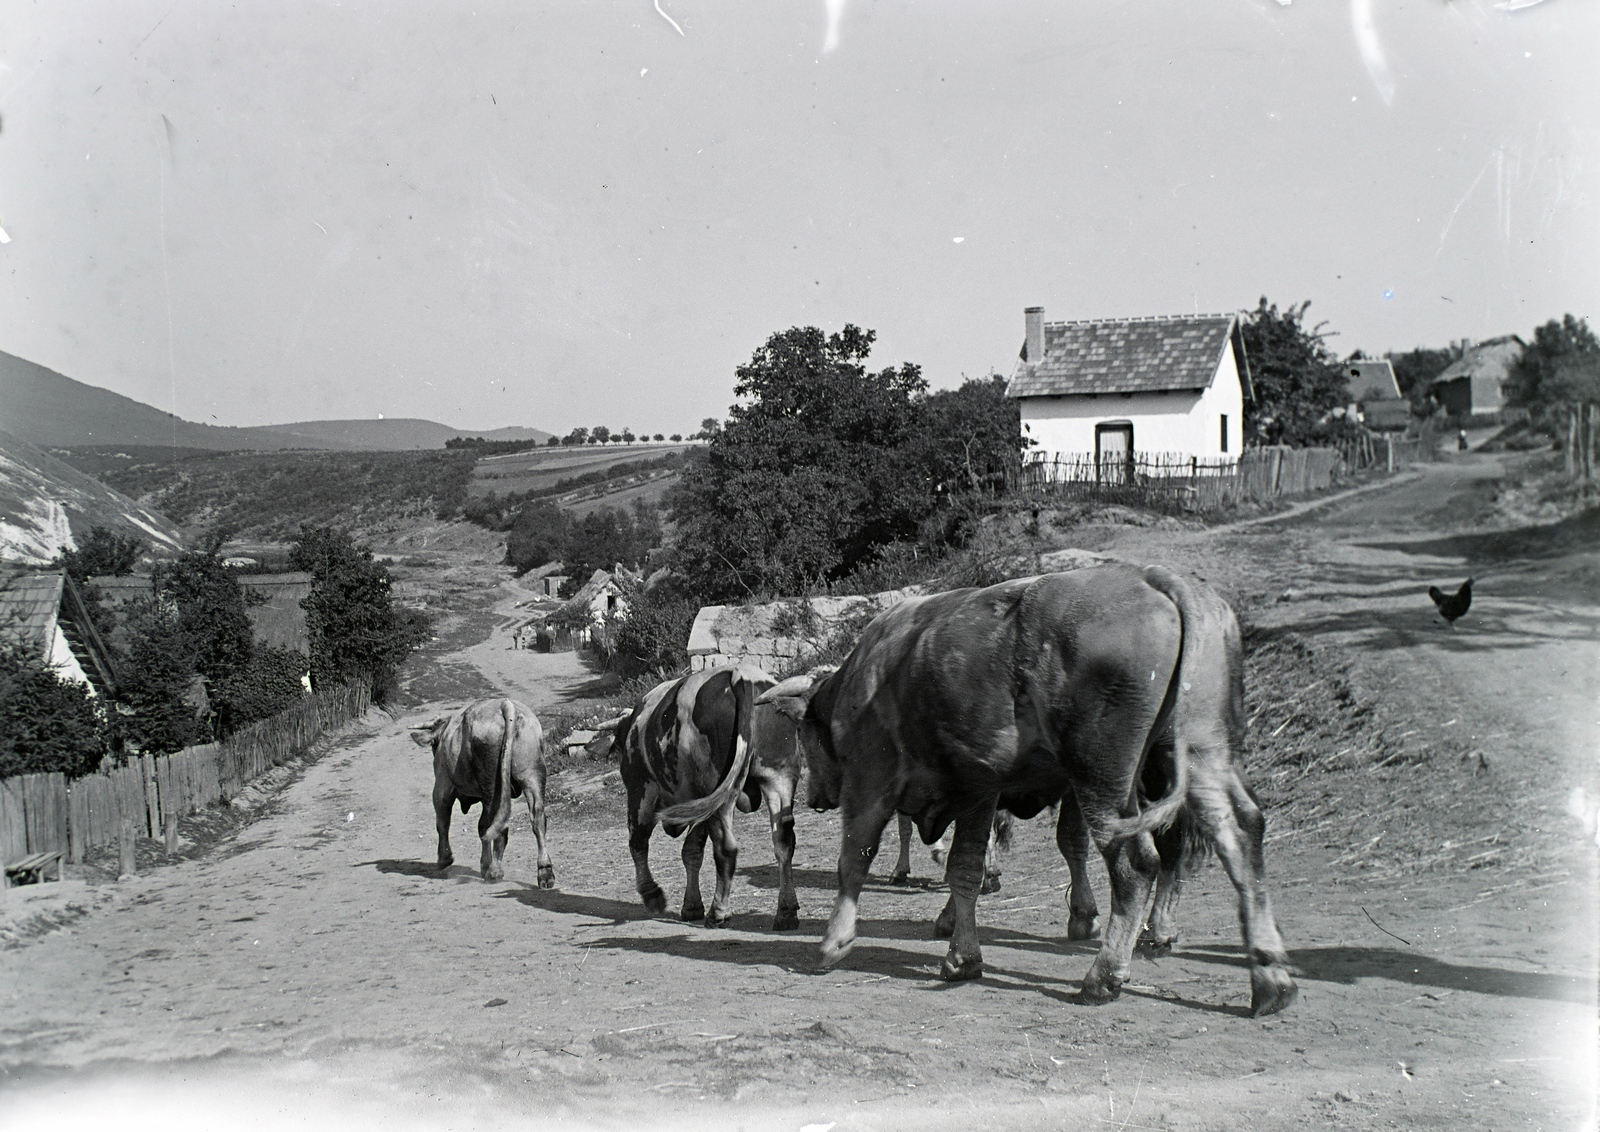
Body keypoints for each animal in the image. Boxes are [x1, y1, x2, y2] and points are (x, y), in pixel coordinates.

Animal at [409, 693, 553, 888]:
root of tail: (506, 706)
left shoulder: (442, 786)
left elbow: (443, 822)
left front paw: (445, 859)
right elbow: (481, 826)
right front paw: (484, 864)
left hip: (492, 785)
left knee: (498, 826)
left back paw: (495, 871)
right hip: (532, 774)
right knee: (537, 819)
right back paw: (545, 872)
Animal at [592, 661, 806, 927]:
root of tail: (741, 675)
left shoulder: (640, 791)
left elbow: (638, 843)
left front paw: (652, 895)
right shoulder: (696, 805)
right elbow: (692, 851)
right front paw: (692, 905)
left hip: (716, 790)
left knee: (726, 848)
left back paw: (719, 912)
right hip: (779, 778)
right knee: (784, 841)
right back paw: (786, 912)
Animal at [761, 566, 1299, 1016]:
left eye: (805, 736)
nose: (814, 796)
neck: (872, 672)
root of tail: (1157, 578)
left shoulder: (872, 782)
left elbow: (856, 858)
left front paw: (834, 941)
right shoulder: (978, 790)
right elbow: (966, 868)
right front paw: (962, 955)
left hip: (1104, 779)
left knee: (1137, 865)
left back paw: (1104, 976)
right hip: (1201, 757)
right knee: (1240, 838)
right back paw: (1270, 977)